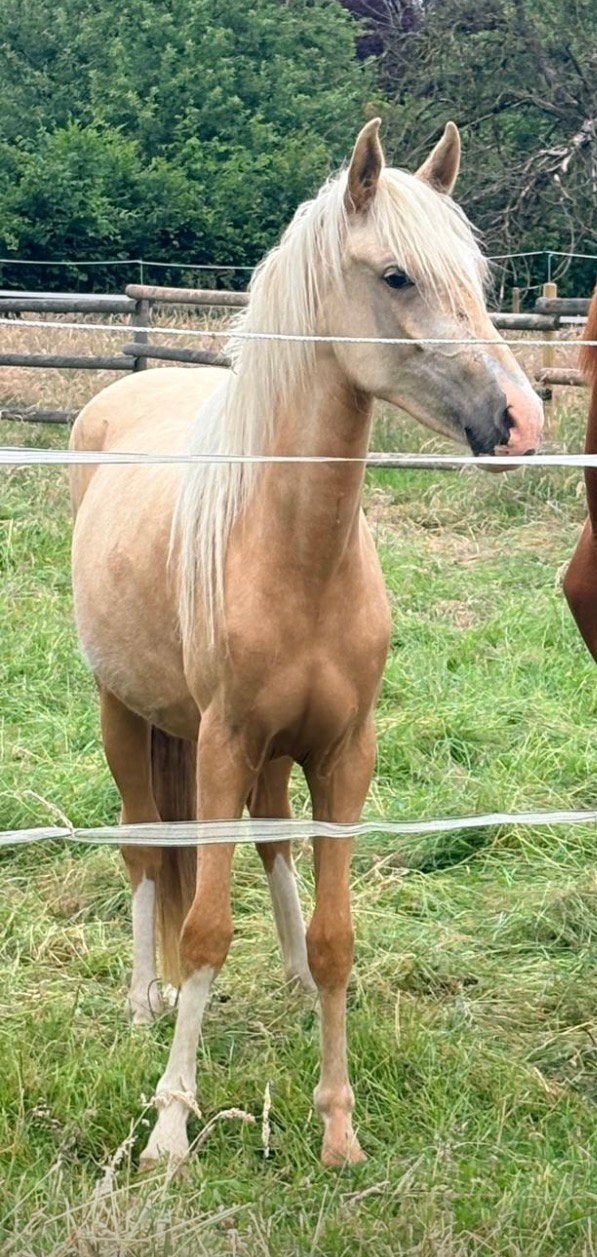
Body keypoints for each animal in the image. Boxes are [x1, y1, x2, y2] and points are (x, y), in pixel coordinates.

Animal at [69, 118, 543, 1168]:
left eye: (478, 275)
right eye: (397, 276)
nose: (522, 422)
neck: (291, 548)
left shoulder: (340, 752)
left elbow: (335, 936)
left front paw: (338, 1125)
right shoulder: (219, 743)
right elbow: (204, 927)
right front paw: (171, 1124)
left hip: (270, 754)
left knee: (272, 837)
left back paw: (281, 979)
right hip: (126, 716)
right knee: (146, 848)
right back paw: (142, 998)